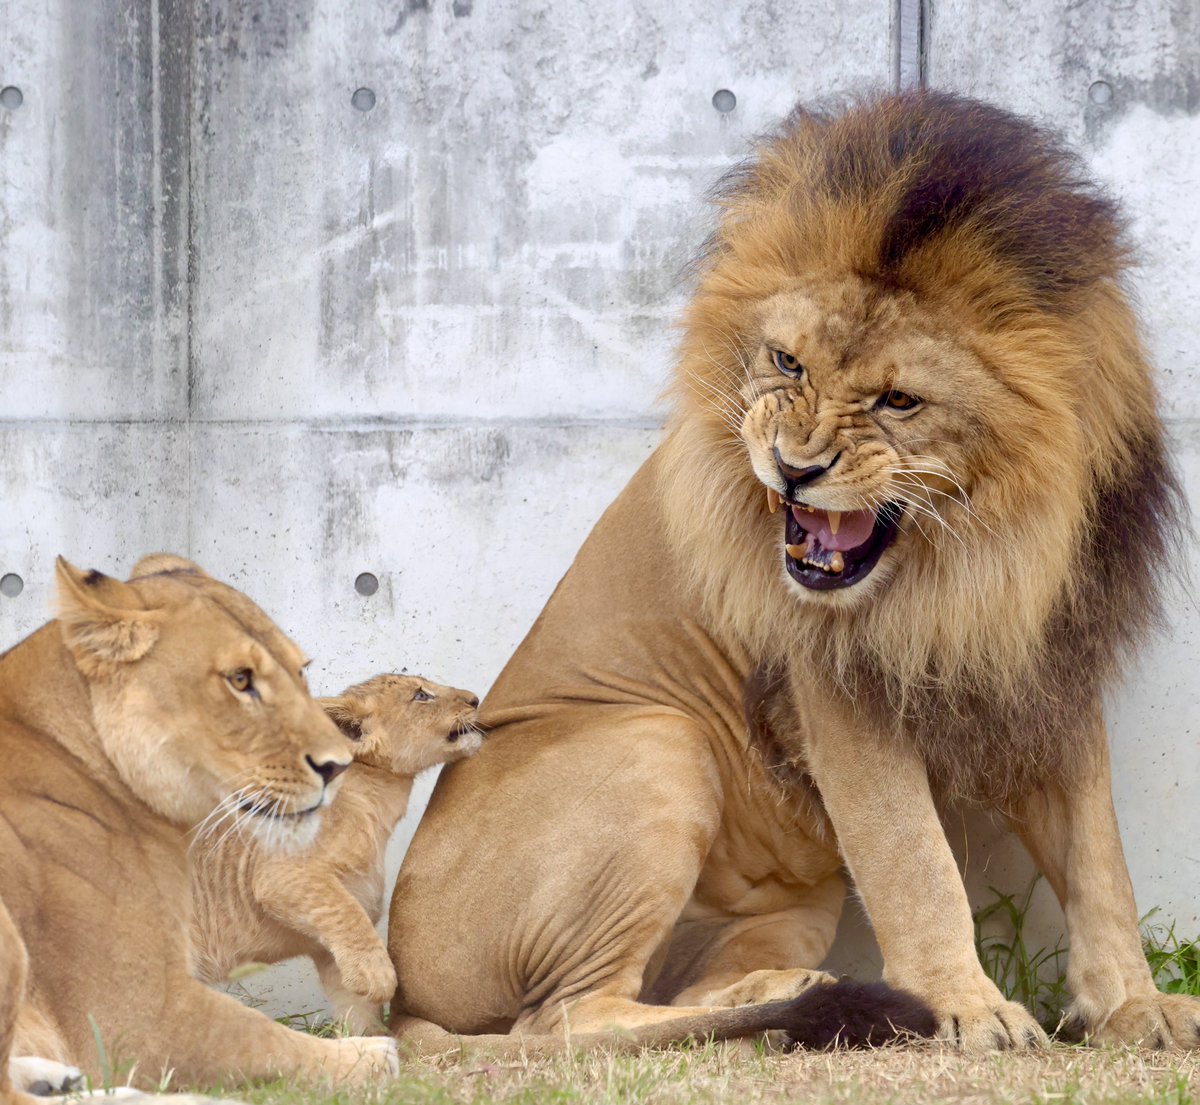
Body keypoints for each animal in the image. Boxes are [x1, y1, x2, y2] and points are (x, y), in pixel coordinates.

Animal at [0, 555, 399, 1091]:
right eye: (240, 679)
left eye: (300, 670)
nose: (339, 766)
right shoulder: (133, 1016)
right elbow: (257, 1035)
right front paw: (372, 1057)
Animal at [190, 673, 481, 1033]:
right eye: (421, 695)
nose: (475, 699)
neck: (378, 803)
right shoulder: (281, 875)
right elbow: (345, 913)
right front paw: (378, 974)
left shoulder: (330, 949)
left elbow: (357, 1009)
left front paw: (375, 1040)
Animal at [387, 90, 1200, 1053]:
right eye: (787, 362)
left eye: (899, 400)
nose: (793, 468)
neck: (981, 553)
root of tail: (399, 995)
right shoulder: (839, 685)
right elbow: (914, 860)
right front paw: (968, 1009)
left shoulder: (1051, 661)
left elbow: (1099, 857)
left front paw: (1136, 1008)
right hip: (661, 738)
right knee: (563, 1017)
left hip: (791, 893)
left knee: (677, 992)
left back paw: (796, 994)